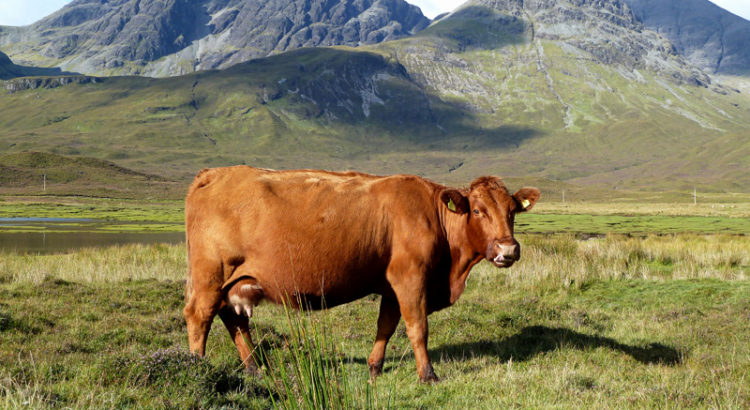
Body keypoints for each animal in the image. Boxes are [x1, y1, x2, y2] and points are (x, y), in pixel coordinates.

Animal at [187, 165, 540, 382]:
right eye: (478, 210)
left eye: (512, 211)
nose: (508, 250)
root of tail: (214, 173)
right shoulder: (411, 277)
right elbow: (417, 327)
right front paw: (427, 374)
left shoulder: (390, 285)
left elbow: (386, 325)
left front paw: (374, 368)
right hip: (210, 276)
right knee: (199, 316)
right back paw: (197, 367)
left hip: (234, 283)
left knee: (233, 319)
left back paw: (255, 369)